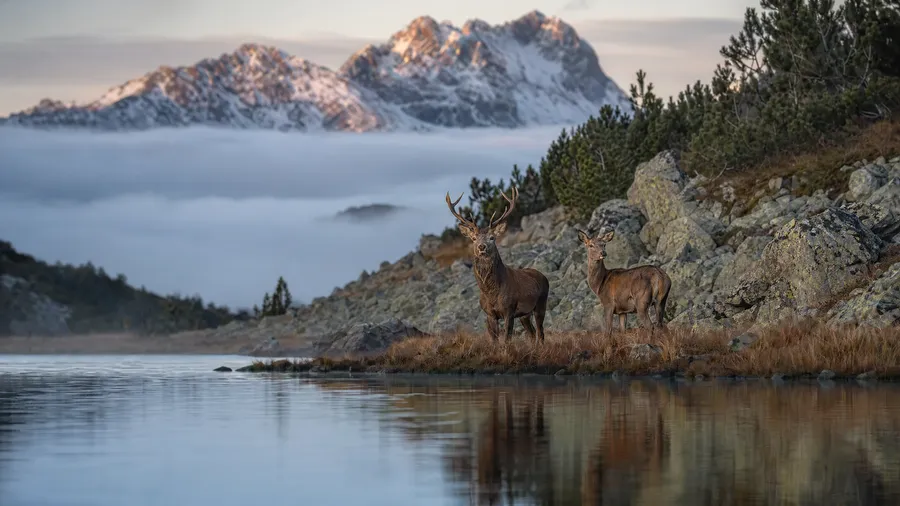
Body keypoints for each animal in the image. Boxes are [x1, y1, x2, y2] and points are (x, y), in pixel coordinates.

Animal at [445, 186, 550, 343]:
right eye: (473, 238)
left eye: (492, 237)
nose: (481, 247)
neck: (491, 293)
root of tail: (543, 276)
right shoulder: (490, 314)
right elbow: (494, 341)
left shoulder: (509, 310)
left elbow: (506, 339)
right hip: (525, 314)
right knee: (531, 333)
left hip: (541, 304)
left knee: (540, 333)